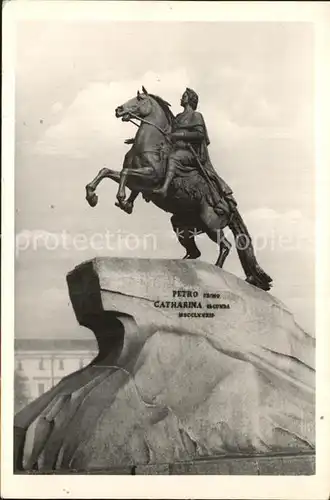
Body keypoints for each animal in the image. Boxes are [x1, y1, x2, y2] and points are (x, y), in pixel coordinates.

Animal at [85, 88, 274, 292]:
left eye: (140, 98)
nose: (118, 110)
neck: (151, 144)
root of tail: (230, 206)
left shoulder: (150, 176)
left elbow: (124, 172)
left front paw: (121, 199)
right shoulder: (136, 181)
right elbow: (107, 171)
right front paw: (93, 196)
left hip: (210, 225)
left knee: (226, 245)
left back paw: (216, 270)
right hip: (182, 225)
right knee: (195, 250)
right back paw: (183, 266)